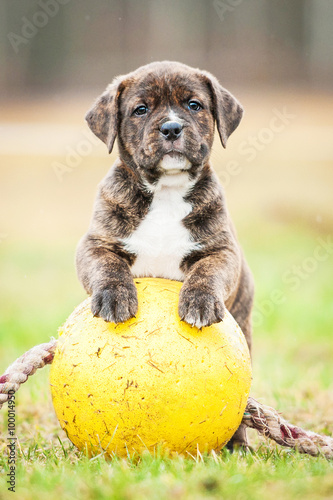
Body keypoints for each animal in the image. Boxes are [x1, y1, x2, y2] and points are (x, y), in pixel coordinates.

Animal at [76, 60, 253, 448]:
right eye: (140, 110)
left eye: (194, 105)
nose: (171, 127)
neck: (166, 191)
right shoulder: (94, 244)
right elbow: (108, 266)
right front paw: (114, 297)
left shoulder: (223, 251)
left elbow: (207, 272)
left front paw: (199, 302)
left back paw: (239, 442)